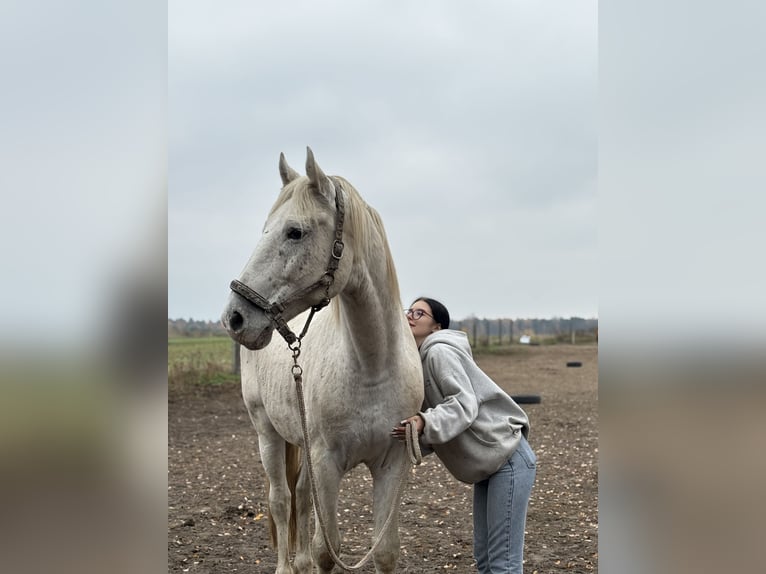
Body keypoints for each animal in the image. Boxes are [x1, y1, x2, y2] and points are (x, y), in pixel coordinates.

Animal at [220, 147, 424, 573]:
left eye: (294, 232)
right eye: (266, 228)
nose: (234, 318)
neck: (372, 367)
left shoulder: (393, 462)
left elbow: (384, 550)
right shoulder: (326, 465)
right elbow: (326, 551)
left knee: (298, 497)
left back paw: (297, 563)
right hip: (267, 432)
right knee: (281, 501)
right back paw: (285, 566)